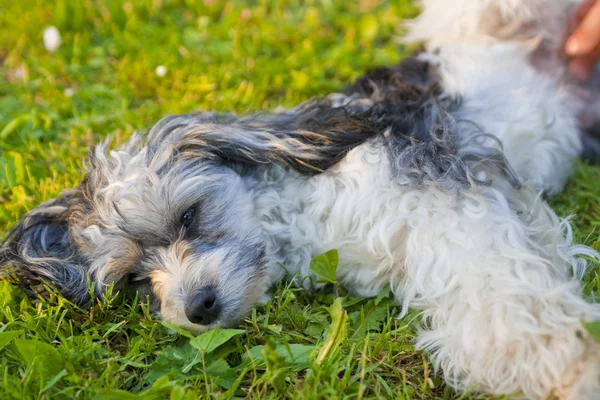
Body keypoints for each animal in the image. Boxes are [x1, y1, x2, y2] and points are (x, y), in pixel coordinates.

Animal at [1, 0, 600, 398]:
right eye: (134, 279)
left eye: (189, 216)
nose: (198, 307)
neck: (298, 216)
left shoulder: (445, 194)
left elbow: (502, 293)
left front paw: (566, 368)